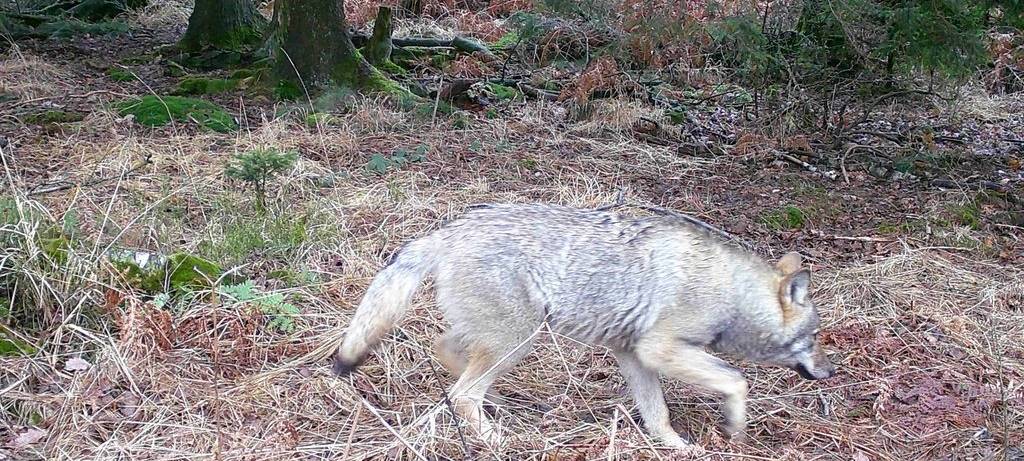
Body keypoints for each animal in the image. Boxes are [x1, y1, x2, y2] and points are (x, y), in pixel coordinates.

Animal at [332, 203, 835, 450]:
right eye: (813, 338)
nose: (830, 372)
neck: (730, 291)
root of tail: (449, 229)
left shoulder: (633, 356)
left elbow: (658, 414)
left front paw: (678, 447)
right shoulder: (658, 350)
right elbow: (737, 380)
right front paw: (734, 428)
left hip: (509, 339)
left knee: (449, 356)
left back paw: (498, 407)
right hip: (522, 339)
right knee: (462, 393)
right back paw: (495, 437)